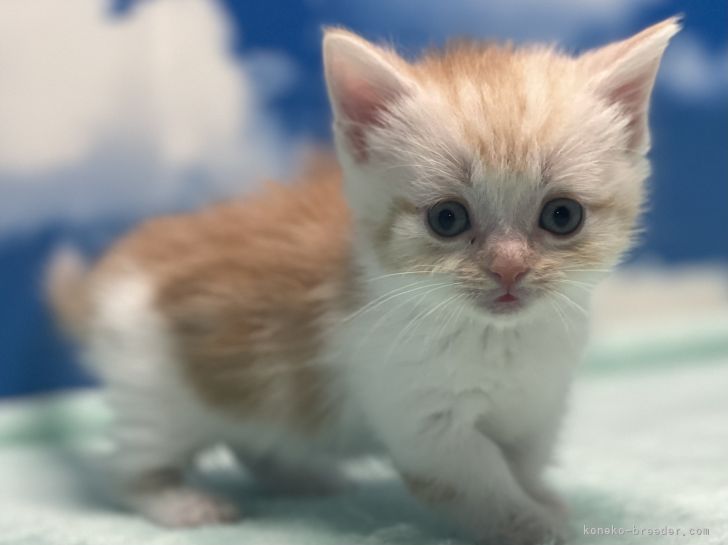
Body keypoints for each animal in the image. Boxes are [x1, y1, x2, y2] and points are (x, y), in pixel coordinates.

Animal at [48, 17, 680, 544]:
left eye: (562, 215)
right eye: (447, 219)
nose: (508, 268)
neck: (499, 340)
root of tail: (114, 270)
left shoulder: (539, 401)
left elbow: (522, 459)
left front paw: (543, 497)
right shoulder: (425, 423)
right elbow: (479, 479)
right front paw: (532, 523)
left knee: (259, 434)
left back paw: (302, 477)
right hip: (154, 392)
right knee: (131, 467)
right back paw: (181, 502)